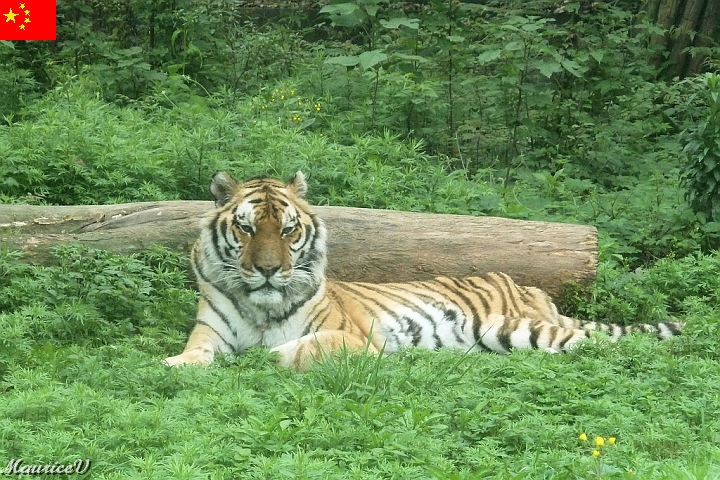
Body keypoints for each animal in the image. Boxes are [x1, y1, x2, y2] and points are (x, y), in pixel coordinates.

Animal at [164, 171, 684, 371]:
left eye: (289, 230)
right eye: (247, 228)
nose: (270, 270)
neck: (262, 307)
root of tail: (531, 289)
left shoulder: (356, 339)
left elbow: (289, 350)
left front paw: (264, 357)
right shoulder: (210, 333)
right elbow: (195, 355)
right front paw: (174, 365)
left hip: (513, 326)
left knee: (596, 343)